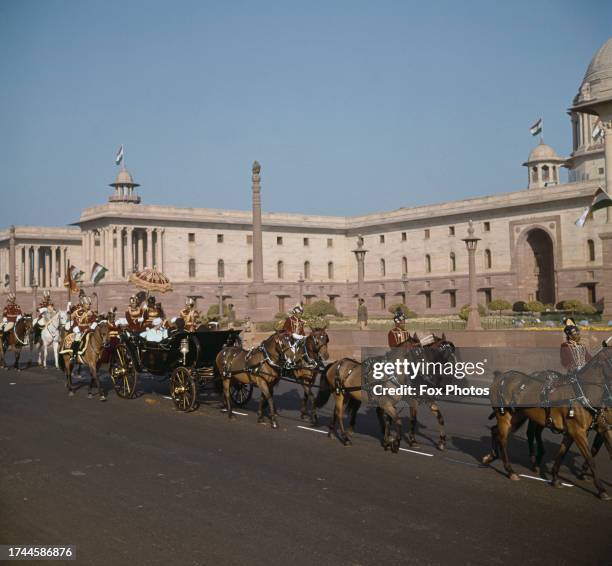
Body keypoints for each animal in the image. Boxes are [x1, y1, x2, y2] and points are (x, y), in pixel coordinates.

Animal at [482, 350, 612, 502]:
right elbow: (591, 459)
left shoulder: (580, 431)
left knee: (496, 431)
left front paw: (555, 478)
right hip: (505, 417)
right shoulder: (579, 432)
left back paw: (491, 456)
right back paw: (510, 470)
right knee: (503, 439)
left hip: (517, 418)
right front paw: (601, 489)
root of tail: (501, 376)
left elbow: (561, 454)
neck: (582, 392)